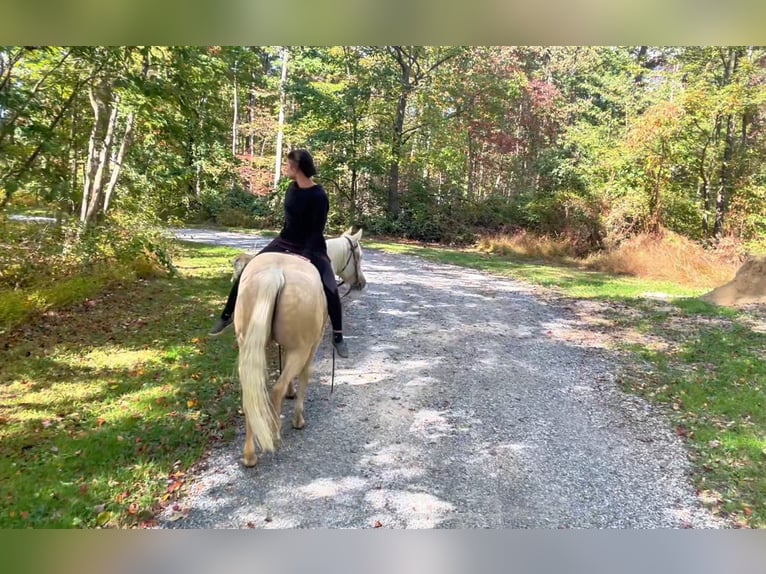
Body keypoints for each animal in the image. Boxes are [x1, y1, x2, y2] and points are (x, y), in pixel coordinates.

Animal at [234, 252, 327, 467]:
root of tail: (273, 274)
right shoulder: (312, 347)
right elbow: (305, 376)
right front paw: (298, 419)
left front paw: (291, 393)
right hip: (300, 350)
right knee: (276, 390)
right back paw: (275, 436)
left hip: (248, 346)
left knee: (251, 394)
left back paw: (249, 456)